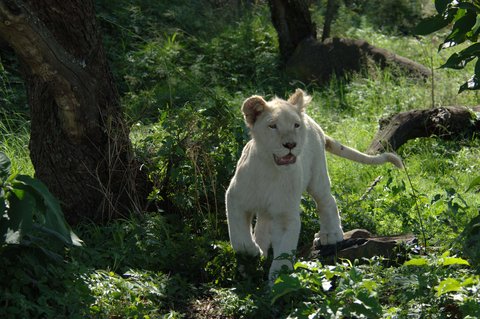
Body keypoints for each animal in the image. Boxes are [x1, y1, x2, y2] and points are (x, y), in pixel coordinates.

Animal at [225, 89, 402, 282]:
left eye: (295, 125)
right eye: (272, 126)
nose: (290, 145)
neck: (270, 169)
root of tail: (312, 121)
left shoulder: (286, 215)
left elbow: (284, 251)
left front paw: (280, 280)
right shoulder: (235, 199)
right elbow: (239, 238)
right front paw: (252, 253)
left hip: (318, 177)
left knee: (327, 201)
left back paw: (330, 235)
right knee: (263, 224)